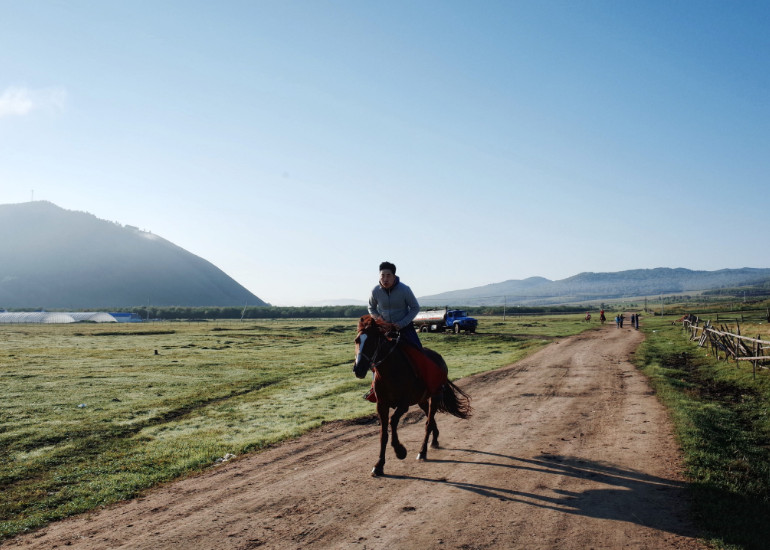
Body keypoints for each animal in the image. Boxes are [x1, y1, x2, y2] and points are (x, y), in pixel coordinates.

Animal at [352, 314, 472, 478]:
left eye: (372, 341)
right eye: (357, 340)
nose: (358, 369)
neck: (391, 370)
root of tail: (440, 359)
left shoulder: (404, 404)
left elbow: (393, 421)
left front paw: (400, 451)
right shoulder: (381, 405)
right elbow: (383, 433)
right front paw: (379, 465)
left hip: (434, 397)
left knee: (428, 423)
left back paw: (422, 452)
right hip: (422, 401)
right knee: (430, 419)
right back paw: (435, 440)